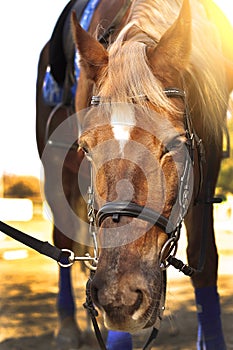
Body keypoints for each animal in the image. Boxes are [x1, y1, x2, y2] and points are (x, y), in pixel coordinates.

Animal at [36, 0, 233, 348]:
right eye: (86, 148)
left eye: (175, 144)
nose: (120, 296)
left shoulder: (206, 163)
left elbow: (204, 261)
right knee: (62, 241)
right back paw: (68, 326)